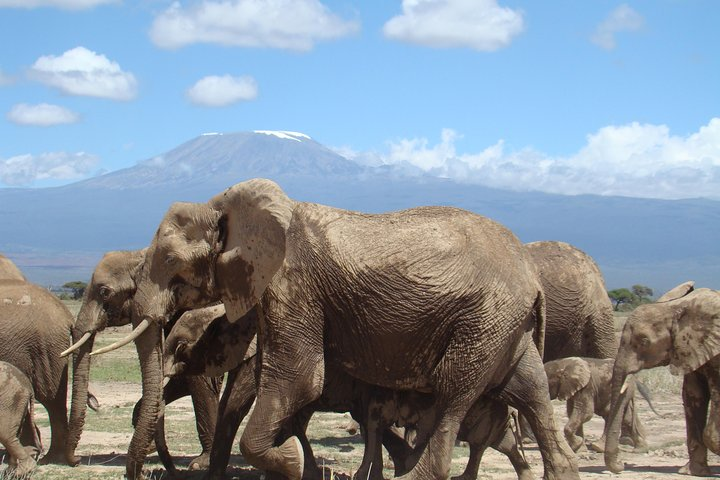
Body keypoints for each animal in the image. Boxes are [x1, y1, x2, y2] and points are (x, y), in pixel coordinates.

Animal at [62, 249, 223, 473]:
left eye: (104, 292)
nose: (76, 461)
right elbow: (177, 378)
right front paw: (149, 447)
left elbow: (199, 379)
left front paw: (201, 463)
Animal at [99, 178, 579, 480]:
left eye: (171, 262)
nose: (144, 473)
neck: (225, 204)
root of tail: (531, 277)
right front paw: (292, 459)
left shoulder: (292, 283)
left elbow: (299, 378)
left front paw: (291, 461)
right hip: (508, 327)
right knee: (530, 390)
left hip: (484, 320)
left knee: (453, 391)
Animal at [604, 282, 720, 475]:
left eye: (643, 341)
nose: (622, 465)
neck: (676, 308)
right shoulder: (690, 349)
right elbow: (692, 396)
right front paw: (692, 472)